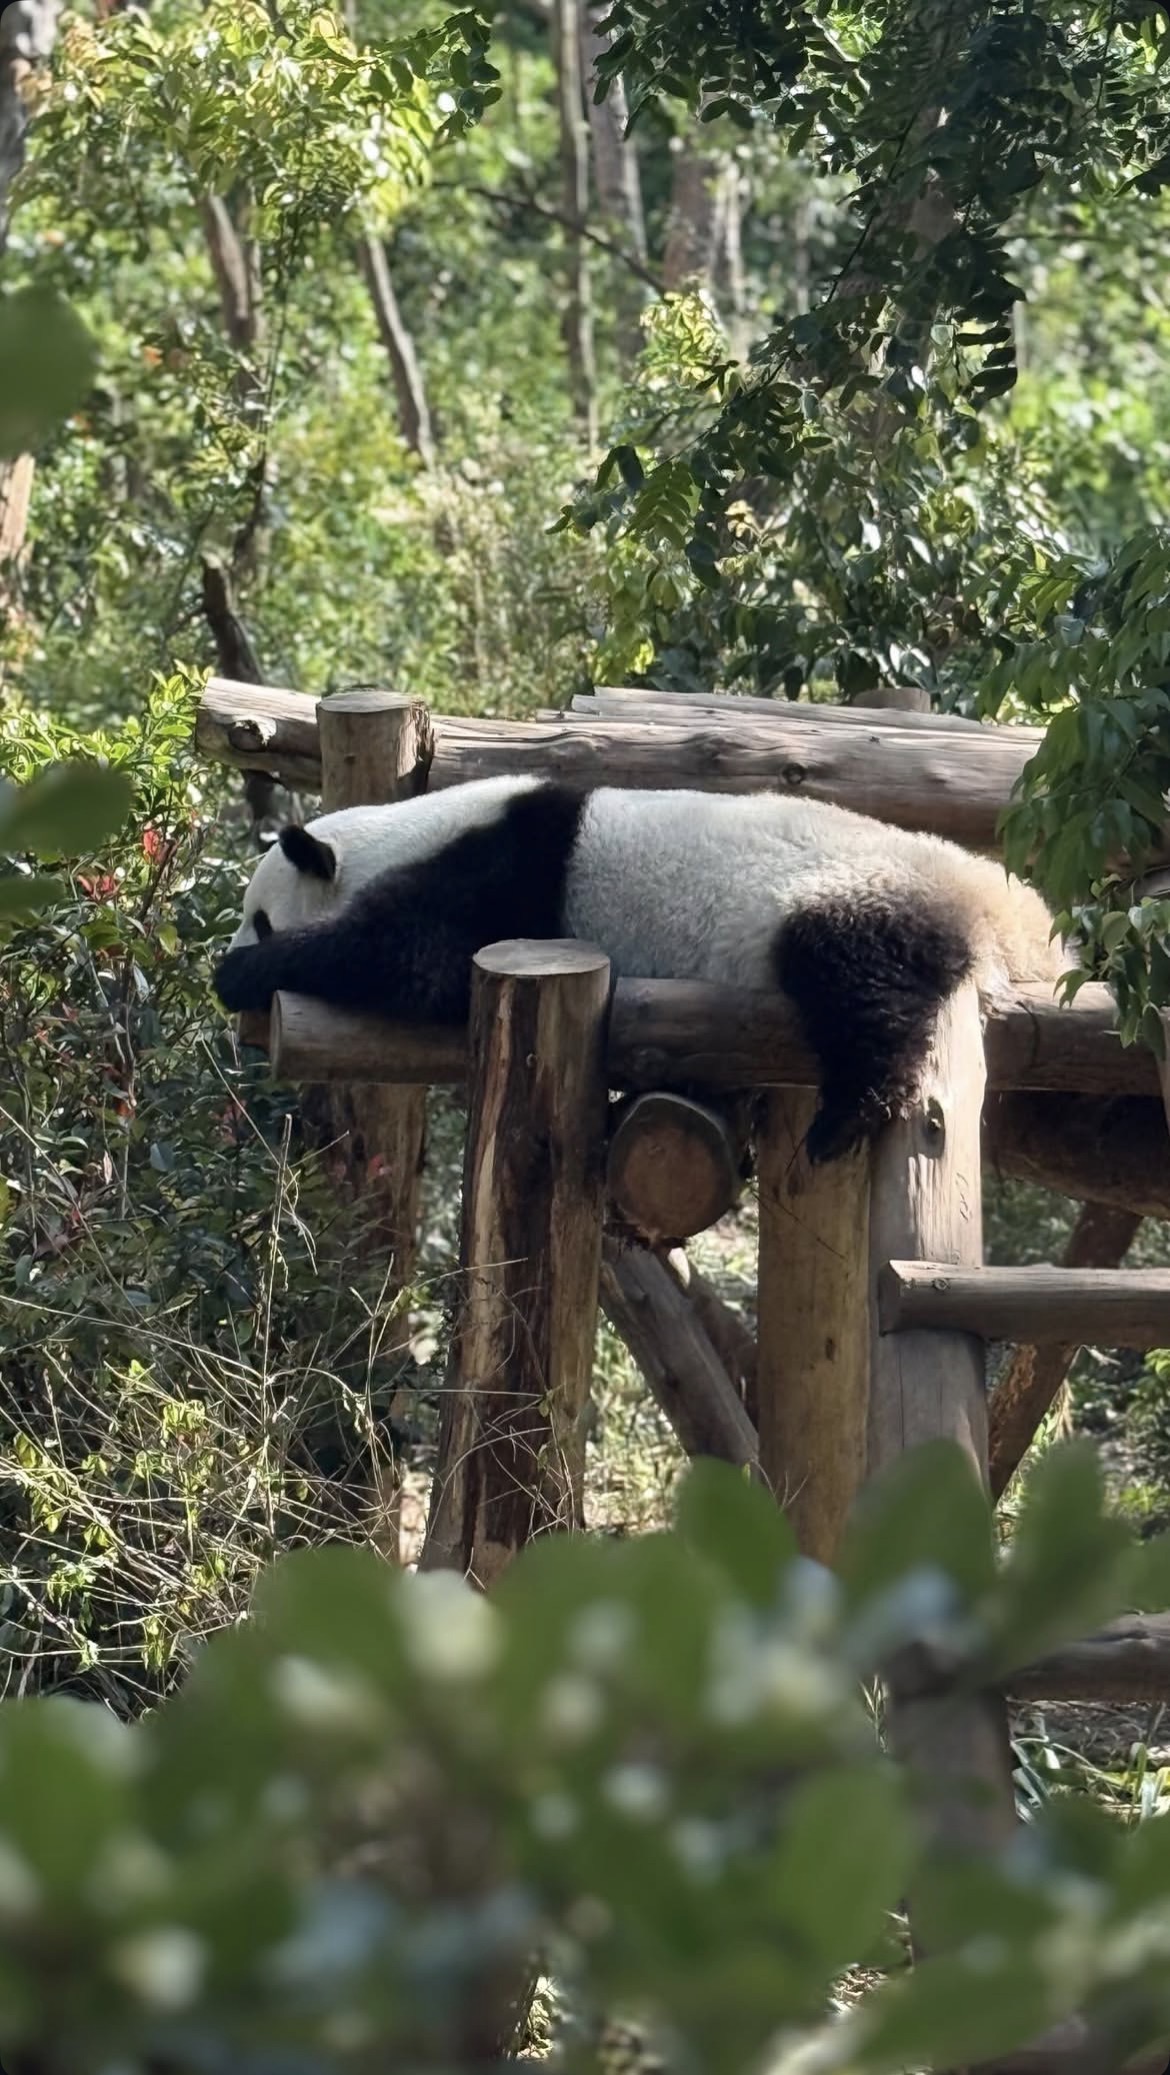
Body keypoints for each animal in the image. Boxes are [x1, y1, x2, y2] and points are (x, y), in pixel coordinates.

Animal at [214, 776, 1063, 1166]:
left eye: (261, 914)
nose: (237, 942)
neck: (403, 833)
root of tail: (1018, 922)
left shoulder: (503, 873)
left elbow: (419, 960)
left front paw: (242, 971)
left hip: (852, 892)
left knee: (863, 986)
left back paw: (847, 1116)